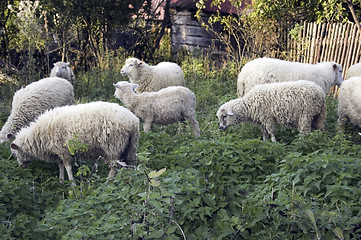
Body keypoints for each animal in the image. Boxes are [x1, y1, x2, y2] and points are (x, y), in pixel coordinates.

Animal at [9, 100, 139, 183]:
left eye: (15, 154)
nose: (21, 167)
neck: (39, 135)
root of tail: (132, 121)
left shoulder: (63, 150)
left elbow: (67, 167)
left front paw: (72, 184)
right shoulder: (58, 151)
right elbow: (60, 165)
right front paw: (61, 180)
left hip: (113, 146)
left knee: (114, 167)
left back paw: (108, 182)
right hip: (131, 146)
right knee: (130, 164)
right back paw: (131, 179)